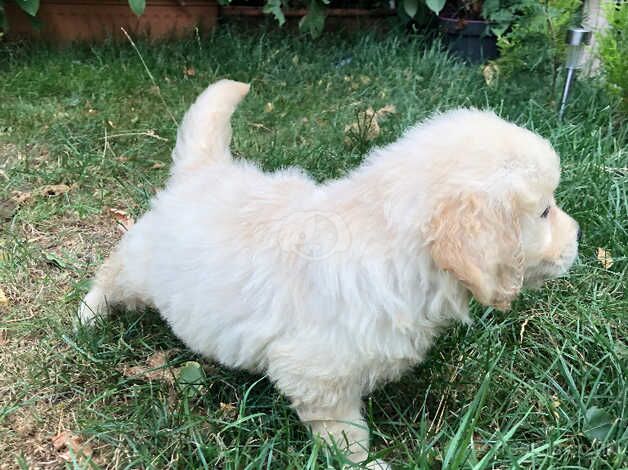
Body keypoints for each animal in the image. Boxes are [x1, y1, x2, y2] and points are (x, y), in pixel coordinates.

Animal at [78, 80, 580, 466]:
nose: (578, 235)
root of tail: (201, 171)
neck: (389, 238)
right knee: (110, 274)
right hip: (143, 266)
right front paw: (364, 463)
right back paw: (87, 318)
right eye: (544, 212)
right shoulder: (318, 374)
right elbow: (345, 432)